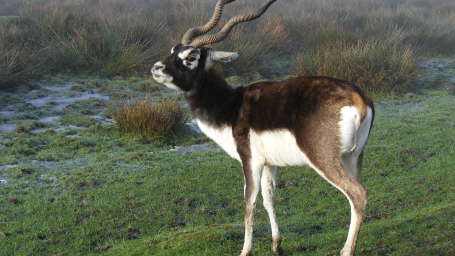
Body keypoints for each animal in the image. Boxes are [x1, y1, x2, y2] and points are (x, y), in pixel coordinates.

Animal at [151, 0, 376, 256]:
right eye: (173, 50)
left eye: (191, 57)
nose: (156, 68)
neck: (231, 105)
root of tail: (358, 98)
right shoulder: (270, 163)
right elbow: (269, 198)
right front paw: (276, 244)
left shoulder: (250, 160)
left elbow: (249, 203)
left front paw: (245, 250)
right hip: (353, 157)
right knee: (357, 195)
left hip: (324, 159)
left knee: (358, 194)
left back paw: (346, 250)